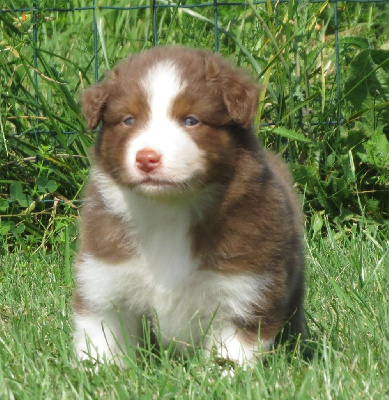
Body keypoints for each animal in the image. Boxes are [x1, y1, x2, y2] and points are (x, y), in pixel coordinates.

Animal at [73, 45, 306, 364]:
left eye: (191, 120)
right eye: (129, 120)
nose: (147, 158)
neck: (168, 211)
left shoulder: (245, 291)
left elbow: (231, 355)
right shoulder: (104, 281)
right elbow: (102, 344)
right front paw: (100, 370)